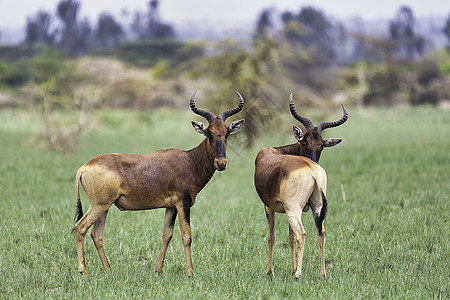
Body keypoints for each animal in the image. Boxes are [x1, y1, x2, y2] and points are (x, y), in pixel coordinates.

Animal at [72, 91, 244, 276]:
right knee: (80, 228)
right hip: (99, 205)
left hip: (105, 206)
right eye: (209, 133)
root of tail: (84, 167)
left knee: (96, 234)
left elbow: (167, 235)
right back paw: (83, 271)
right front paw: (190, 272)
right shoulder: (182, 203)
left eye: (226, 133)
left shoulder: (171, 206)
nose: (221, 163)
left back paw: (109, 270)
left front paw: (158, 269)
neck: (189, 160)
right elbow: (187, 236)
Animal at [253, 94, 348, 278]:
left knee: (302, 234)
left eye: (321, 145)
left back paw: (298, 274)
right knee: (321, 232)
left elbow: (272, 236)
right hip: (316, 207)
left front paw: (270, 271)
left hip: (294, 210)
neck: (273, 152)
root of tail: (312, 169)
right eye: (305, 142)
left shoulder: (269, 207)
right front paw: (291, 268)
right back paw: (322, 273)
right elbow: (290, 238)